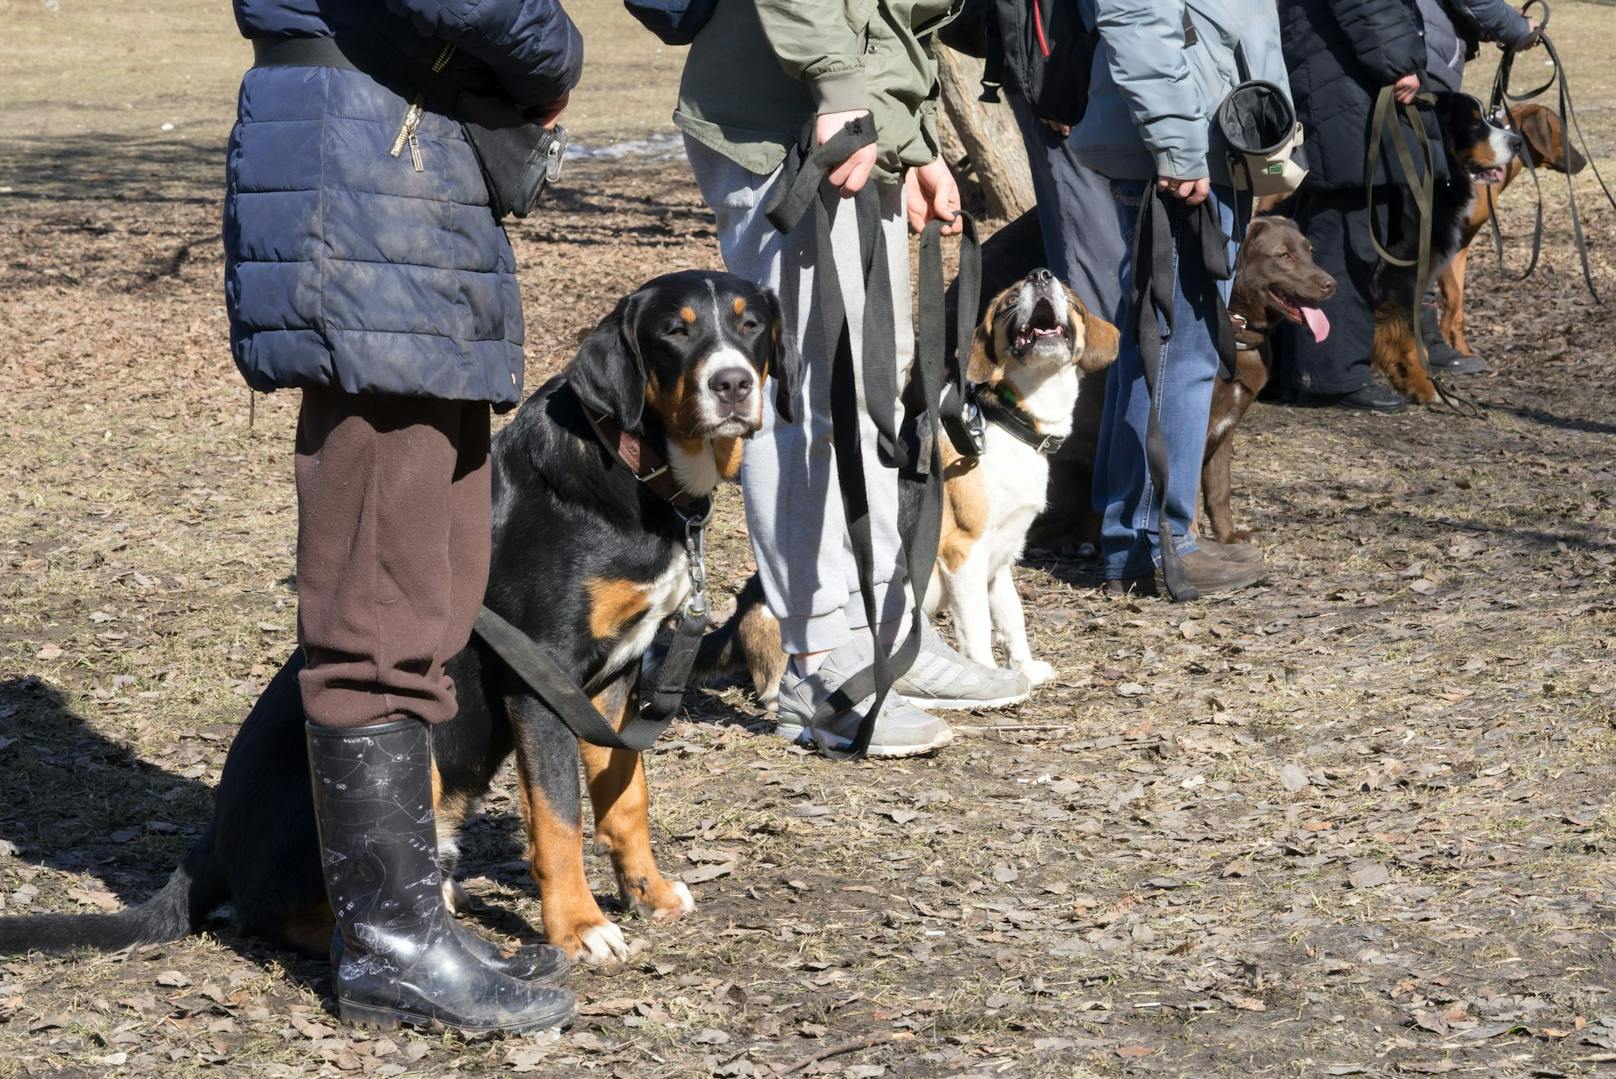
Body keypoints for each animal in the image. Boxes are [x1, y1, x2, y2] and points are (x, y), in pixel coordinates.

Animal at [0, 269, 795, 969]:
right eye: (674, 332)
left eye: (752, 325)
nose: (733, 383)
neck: (635, 473)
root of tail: (211, 842)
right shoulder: (542, 680)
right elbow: (560, 819)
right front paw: (579, 928)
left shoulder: (613, 681)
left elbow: (626, 796)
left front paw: (648, 892)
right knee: (286, 913)